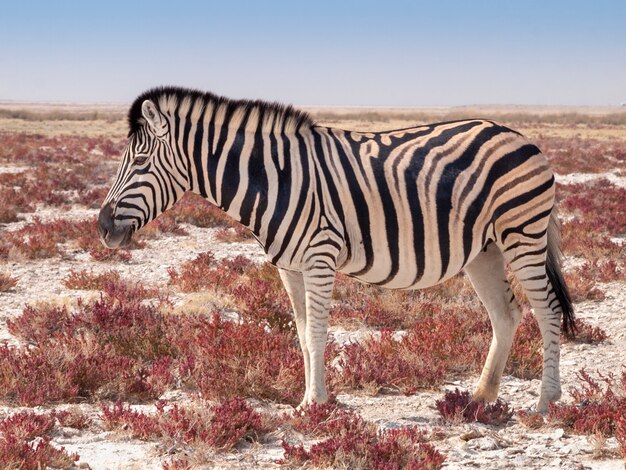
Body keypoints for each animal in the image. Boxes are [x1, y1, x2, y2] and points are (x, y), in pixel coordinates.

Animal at [100, 86, 572, 414]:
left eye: (139, 163)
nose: (102, 227)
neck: (274, 177)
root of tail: (521, 137)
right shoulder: (288, 266)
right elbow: (302, 335)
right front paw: (311, 402)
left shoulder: (319, 256)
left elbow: (318, 332)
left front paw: (313, 403)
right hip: (483, 250)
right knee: (506, 313)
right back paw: (480, 396)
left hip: (522, 234)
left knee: (547, 309)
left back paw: (545, 402)